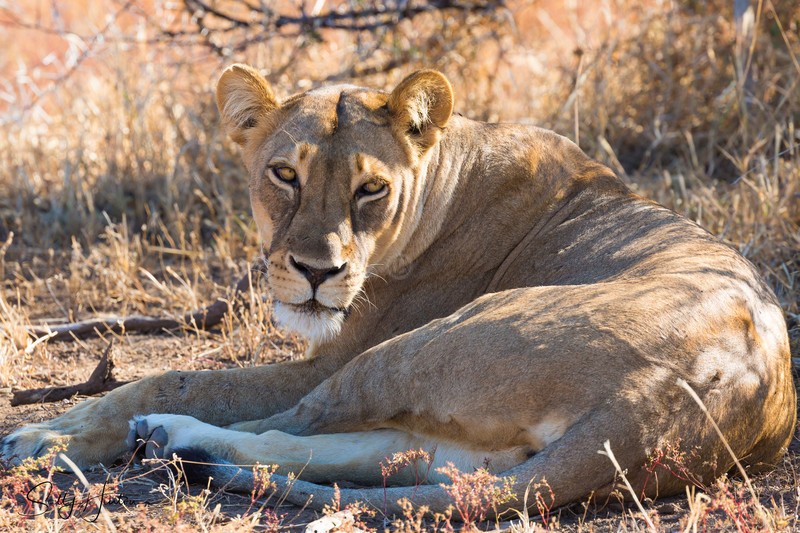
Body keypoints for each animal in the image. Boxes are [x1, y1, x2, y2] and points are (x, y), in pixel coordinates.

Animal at [2, 65, 795, 516]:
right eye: (284, 174)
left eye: (370, 189)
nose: (316, 272)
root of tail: (656, 406)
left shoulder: (330, 354)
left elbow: (176, 377)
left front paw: (44, 436)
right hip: (469, 439)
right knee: (360, 450)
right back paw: (187, 451)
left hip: (426, 343)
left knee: (288, 421)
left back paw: (167, 438)